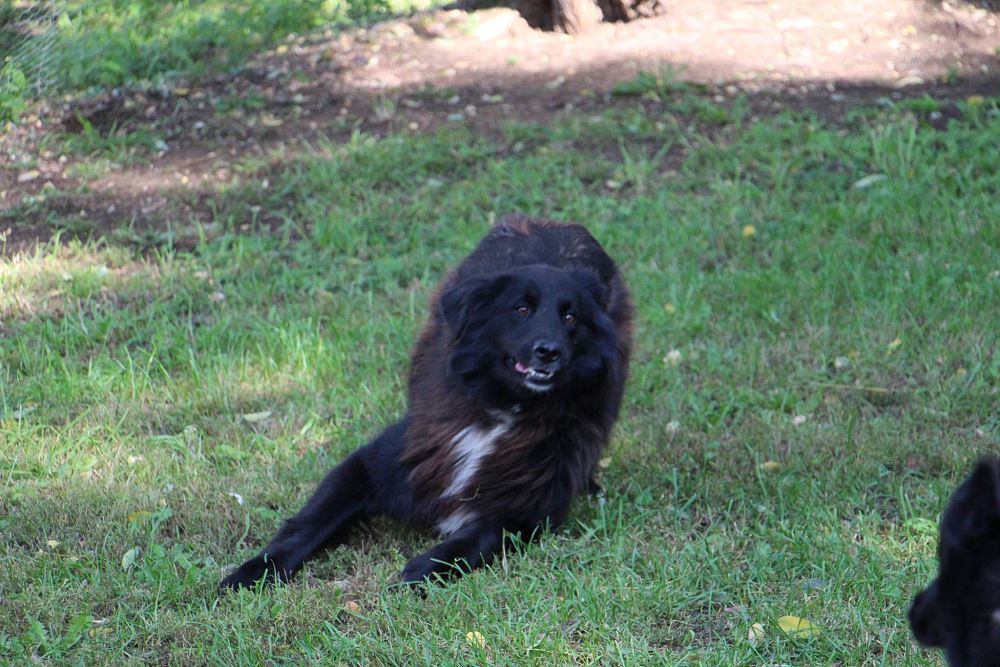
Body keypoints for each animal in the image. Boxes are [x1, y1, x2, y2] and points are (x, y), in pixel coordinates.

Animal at [220, 214, 633, 590]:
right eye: (522, 309)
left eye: (570, 317)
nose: (550, 351)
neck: (501, 411)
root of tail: (556, 223)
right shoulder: (372, 463)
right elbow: (312, 519)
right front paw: (257, 569)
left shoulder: (530, 508)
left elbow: (479, 536)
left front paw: (422, 569)